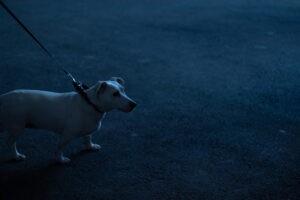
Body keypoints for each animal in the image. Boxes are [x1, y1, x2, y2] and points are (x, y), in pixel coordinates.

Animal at [0, 77, 137, 163]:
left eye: (124, 90)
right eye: (115, 94)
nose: (134, 104)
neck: (90, 104)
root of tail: (4, 98)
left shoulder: (87, 130)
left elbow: (87, 138)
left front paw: (90, 146)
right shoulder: (67, 135)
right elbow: (59, 148)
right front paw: (60, 160)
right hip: (17, 127)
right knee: (10, 143)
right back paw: (16, 156)